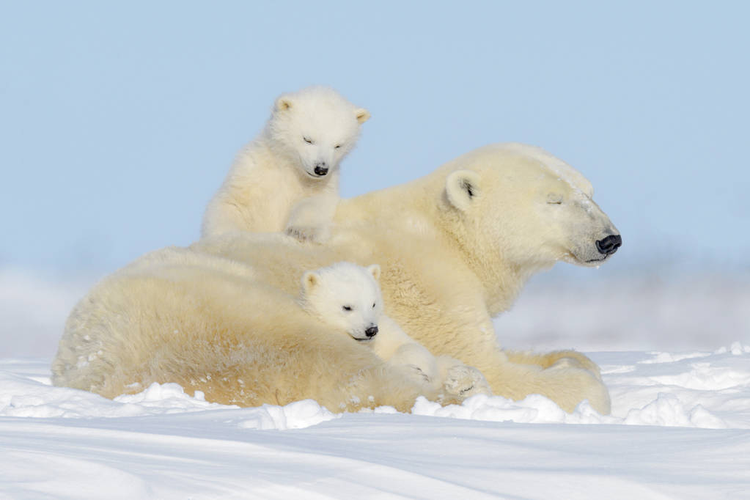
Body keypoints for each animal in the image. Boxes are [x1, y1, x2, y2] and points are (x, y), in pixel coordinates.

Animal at [201, 86, 370, 242]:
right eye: (308, 139)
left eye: (338, 145)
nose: (321, 169)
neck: (290, 167)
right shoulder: (252, 172)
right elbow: (232, 203)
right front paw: (228, 235)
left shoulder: (322, 184)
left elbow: (314, 202)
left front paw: (302, 231)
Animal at [299, 261, 492, 398]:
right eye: (347, 307)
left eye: (373, 303)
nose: (371, 330)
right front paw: (416, 374)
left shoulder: (386, 331)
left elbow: (410, 346)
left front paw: (424, 368)